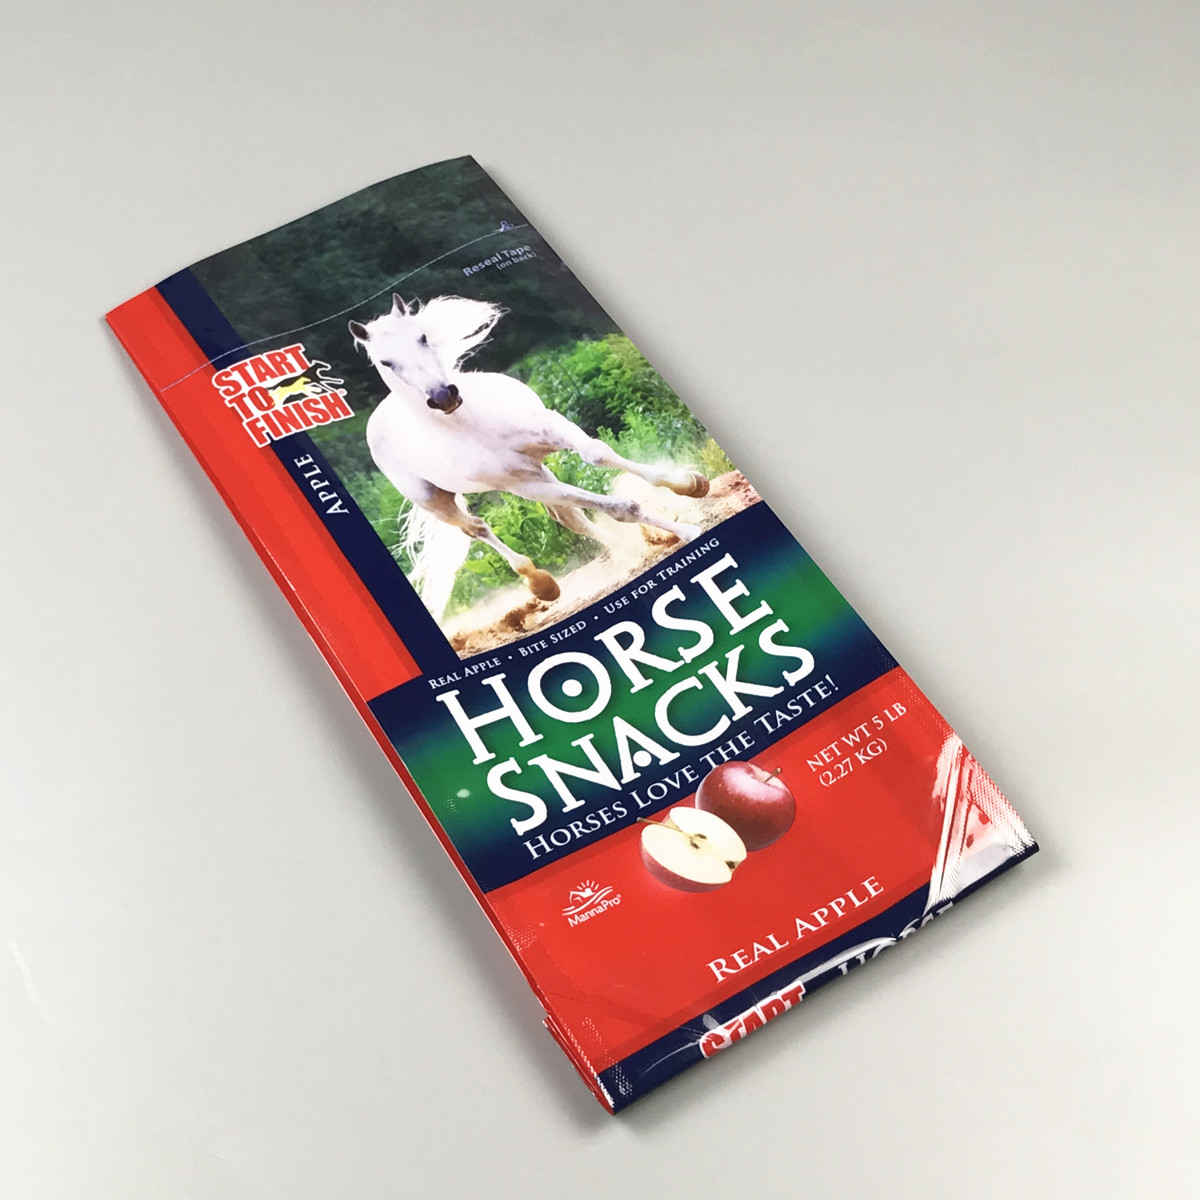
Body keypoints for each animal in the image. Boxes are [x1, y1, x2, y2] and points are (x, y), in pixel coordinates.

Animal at [350, 294, 709, 617]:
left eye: (422, 337)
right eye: (385, 362)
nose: (442, 396)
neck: (473, 424)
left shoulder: (552, 428)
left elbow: (596, 455)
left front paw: (691, 485)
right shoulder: (523, 485)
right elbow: (621, 508)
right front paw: (688, 532)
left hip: (538, 470)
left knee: (565, 516)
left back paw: (631, 548)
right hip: (438, 501)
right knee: (478, 528)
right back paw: (543, 584)